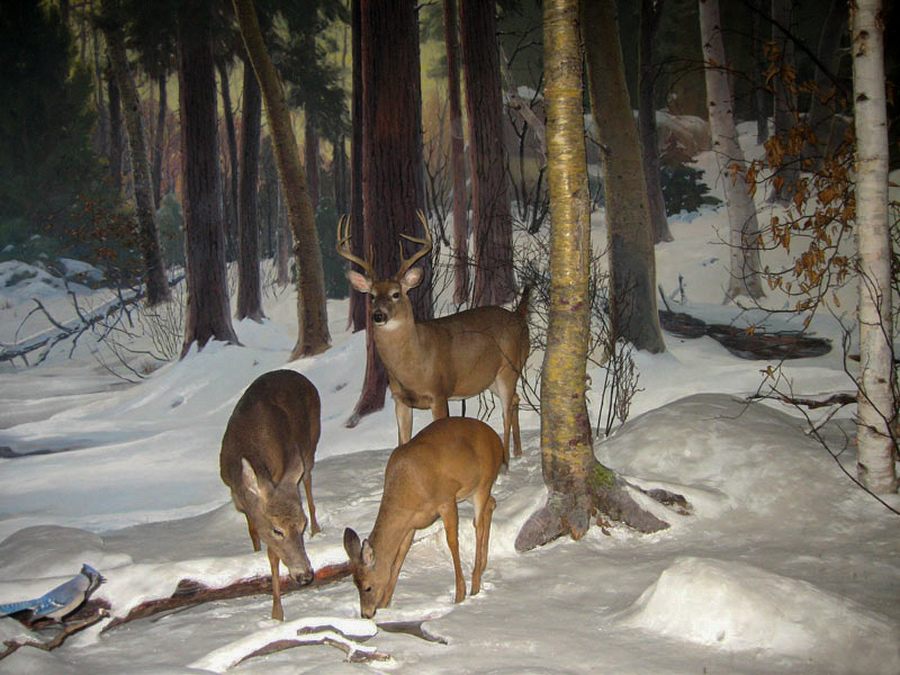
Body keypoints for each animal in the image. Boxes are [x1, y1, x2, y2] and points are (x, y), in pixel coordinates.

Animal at [220, 370, 322, 624]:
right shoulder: (239, 499)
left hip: (311, 438)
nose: (306, 575)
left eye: (302, 524)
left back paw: (318, 529)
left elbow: (273, 556)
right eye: (277, 530)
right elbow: (253, 531)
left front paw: (276, 614)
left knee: (307, 478)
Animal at [342, 213, 532, 464]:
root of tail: (518, 316)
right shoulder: (400, 399)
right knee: (516, 400)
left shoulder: (438, 393)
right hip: (490, 378)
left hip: (510, 366)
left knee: (506, 410)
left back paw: (507, 460)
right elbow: (402, 441)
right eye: (372, 296)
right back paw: (519, 452)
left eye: (396, 294)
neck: (413, 365)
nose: (378, 315)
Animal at [342, 420, 502, 620]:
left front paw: (459, 594)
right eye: (355, 584)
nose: (366, 614)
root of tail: (497, 441)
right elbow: (399, 557)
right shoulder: (411, 524)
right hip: (470, 492)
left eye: (368, 587)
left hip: (482, 484)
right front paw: (386, 602)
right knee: (491, 505)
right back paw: (482, 567)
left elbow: (452, 543)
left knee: (479, 525)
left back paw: (475, 583)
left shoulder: (446, 500)